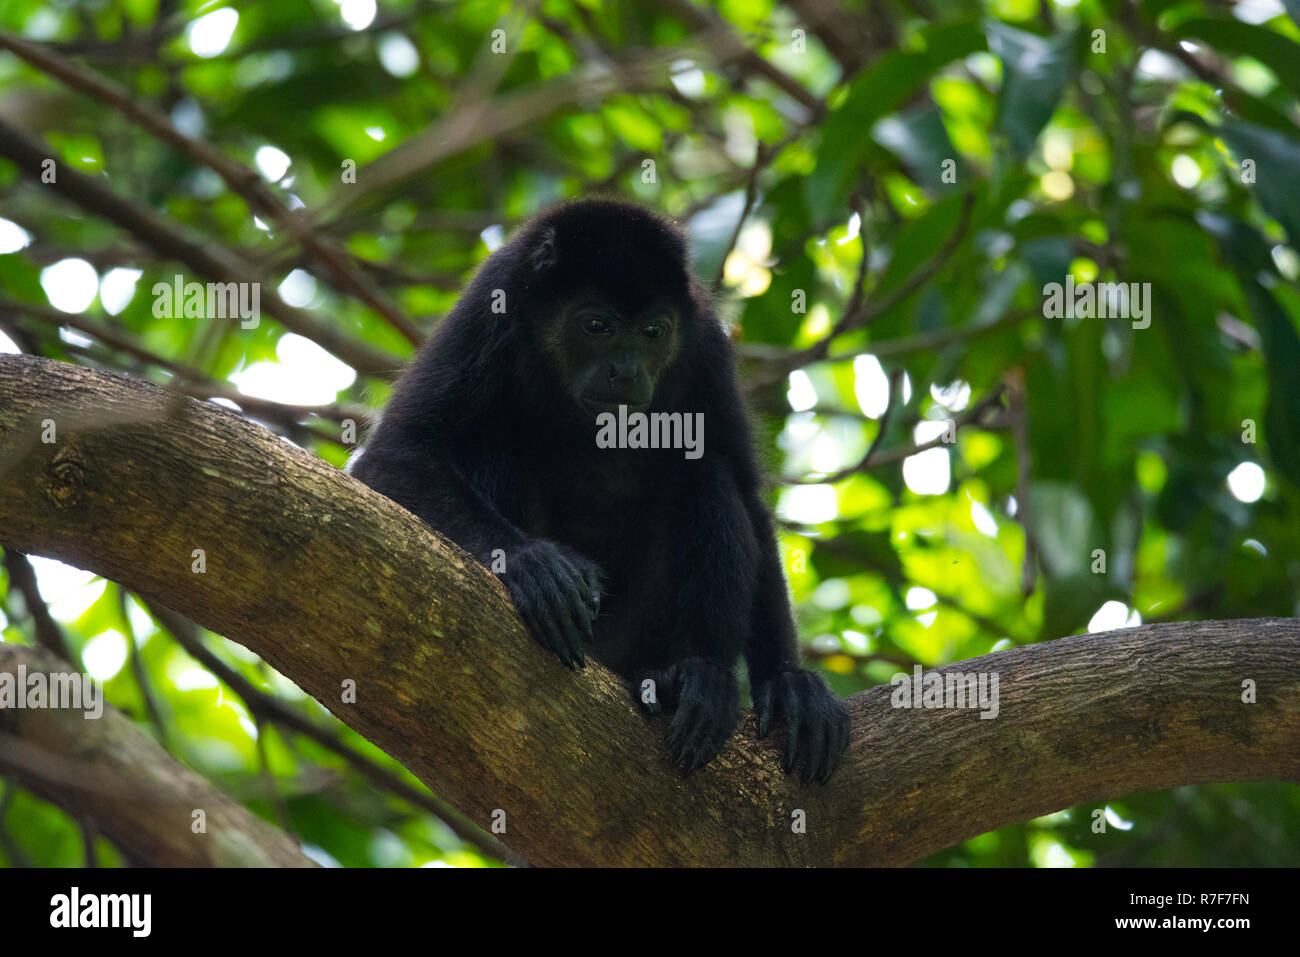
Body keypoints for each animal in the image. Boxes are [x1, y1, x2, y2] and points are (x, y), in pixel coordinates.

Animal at [351, 197, 847, 780]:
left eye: (654, 332)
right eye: (596, 326)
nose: (625, 372)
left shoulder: (705, 340)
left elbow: (745, 489)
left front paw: (788, 682)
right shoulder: (491, 301)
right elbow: (400, 449)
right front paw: (532, 562)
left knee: (706, 473)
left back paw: (692, 676)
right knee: (490, 444)